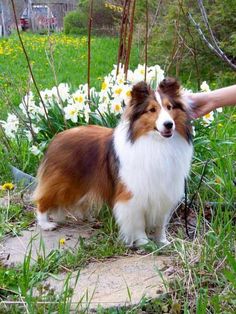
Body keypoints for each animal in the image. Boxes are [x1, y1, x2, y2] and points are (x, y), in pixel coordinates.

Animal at [33, 77, 192, 247]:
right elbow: (138, 223)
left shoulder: (164, 193)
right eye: (152, 110)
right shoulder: (133, 196)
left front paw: (163, 242)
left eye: (169, 107)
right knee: (42, 200)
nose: (169, 124)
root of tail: (56, 138)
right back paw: (45, 224)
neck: (156, 143)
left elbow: (160, 224)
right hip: (63, 184)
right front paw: (144, 243)